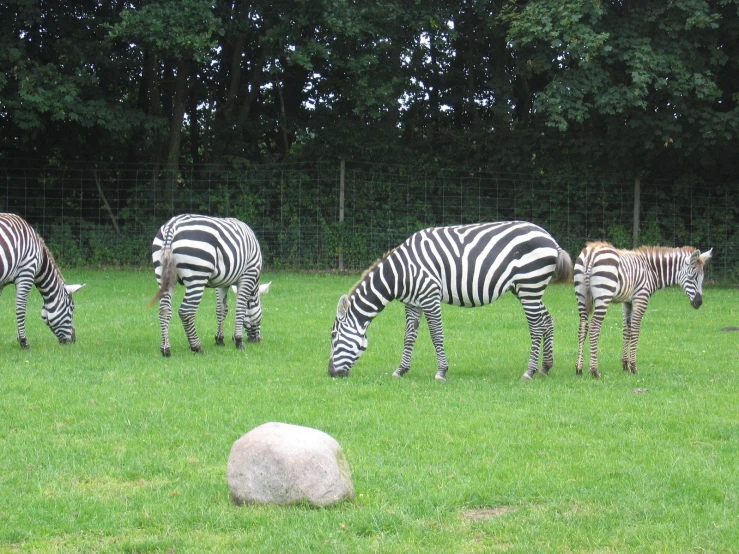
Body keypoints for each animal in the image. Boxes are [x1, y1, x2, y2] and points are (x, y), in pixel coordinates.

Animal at [0, 211, 85, 344]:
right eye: (72, 308)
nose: (73, 340)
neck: (40, 260)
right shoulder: (26, 273)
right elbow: (21, 309)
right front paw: (24, 341)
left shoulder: (2, 283)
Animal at [151, 213, 272, 356]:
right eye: (261, 308)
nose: (257, 340)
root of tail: (171, 226)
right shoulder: (248, 274)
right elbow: (240, 308)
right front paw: (238, 341)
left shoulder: (223, 282)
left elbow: (222, 309)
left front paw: (220, 339)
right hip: (197, 276)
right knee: (186, 312)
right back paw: (197, 347)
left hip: (163, 276)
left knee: (164, 310)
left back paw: (165, 349)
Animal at [328, 220, 572, 380]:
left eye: (333, 336)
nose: (330, 373)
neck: (400, 273)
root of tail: (551, 240)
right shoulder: (413, 302)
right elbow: (409, 336)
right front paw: (401, 370)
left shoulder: (430, 297)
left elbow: (436, 335)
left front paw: (441, 371)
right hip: (528, 289)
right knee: (547, 321)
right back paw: (546, 367)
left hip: (529, 285)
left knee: (536, 327)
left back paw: (529, 371)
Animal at [576, 239, 712, 378]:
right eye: (692, 277)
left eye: (702, 278)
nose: (699, 303)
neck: (652, 270)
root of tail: (592, 252)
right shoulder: (641, 298)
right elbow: (635, 330)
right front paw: (633, 367)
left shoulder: (627, 302)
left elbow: (627, 330)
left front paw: (625, 365)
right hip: (603, 295)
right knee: (594, 327)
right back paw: (594, 370)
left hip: (581, 296)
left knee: (583, 327)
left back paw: (579, 368)